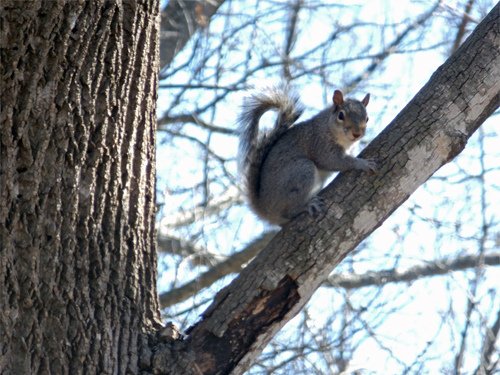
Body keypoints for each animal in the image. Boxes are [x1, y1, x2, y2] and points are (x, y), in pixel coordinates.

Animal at [238, 86, 376, 225]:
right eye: (341, 115)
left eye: (367, 118)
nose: (357, 134)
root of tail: (265, 209)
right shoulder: (320, 144)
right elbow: (332, 161)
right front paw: (362, 163)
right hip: (302, 171)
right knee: (290, 211)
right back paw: (305, 206)